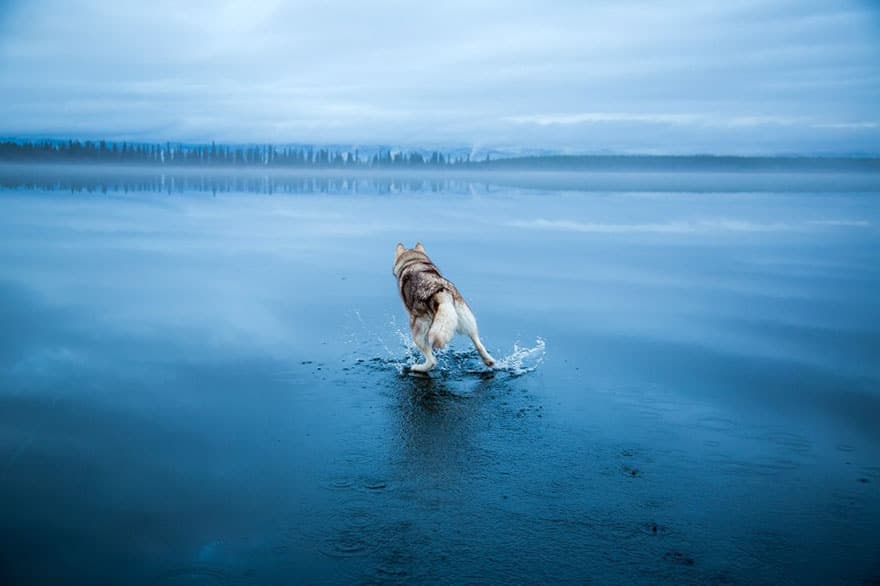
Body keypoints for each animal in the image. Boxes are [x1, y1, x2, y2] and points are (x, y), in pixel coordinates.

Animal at [392, 241, 496, 370]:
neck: (414, 261)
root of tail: (440, 292)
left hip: (419, 332)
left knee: (431, 361)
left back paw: (418, 367)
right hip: (466, 320)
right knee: (477, 342)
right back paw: (488, 361)